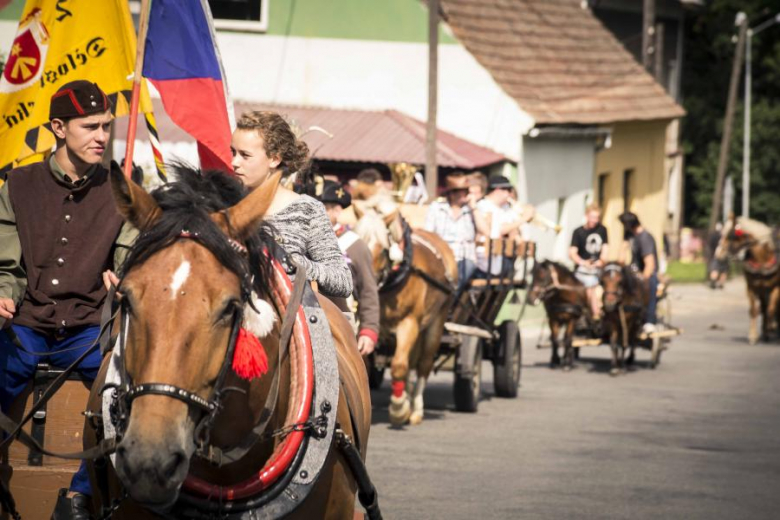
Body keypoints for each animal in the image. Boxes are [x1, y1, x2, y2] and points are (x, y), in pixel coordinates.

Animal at [350, 196, 454, 426]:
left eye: (382, 249)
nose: (359, 284)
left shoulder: (410, 323)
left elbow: (399, 365)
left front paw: (399, 409)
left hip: (436, 321)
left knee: (423, 364)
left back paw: (416, 409)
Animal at [716, 215, 776, 346]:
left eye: (730, 235)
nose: (718, 253)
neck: (762, 258)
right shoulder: (752, 287)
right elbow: (754, 310)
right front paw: (753, 336)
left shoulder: (775, 288)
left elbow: (771, 309)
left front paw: (771, 327)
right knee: (763, 307)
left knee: (768, 308)